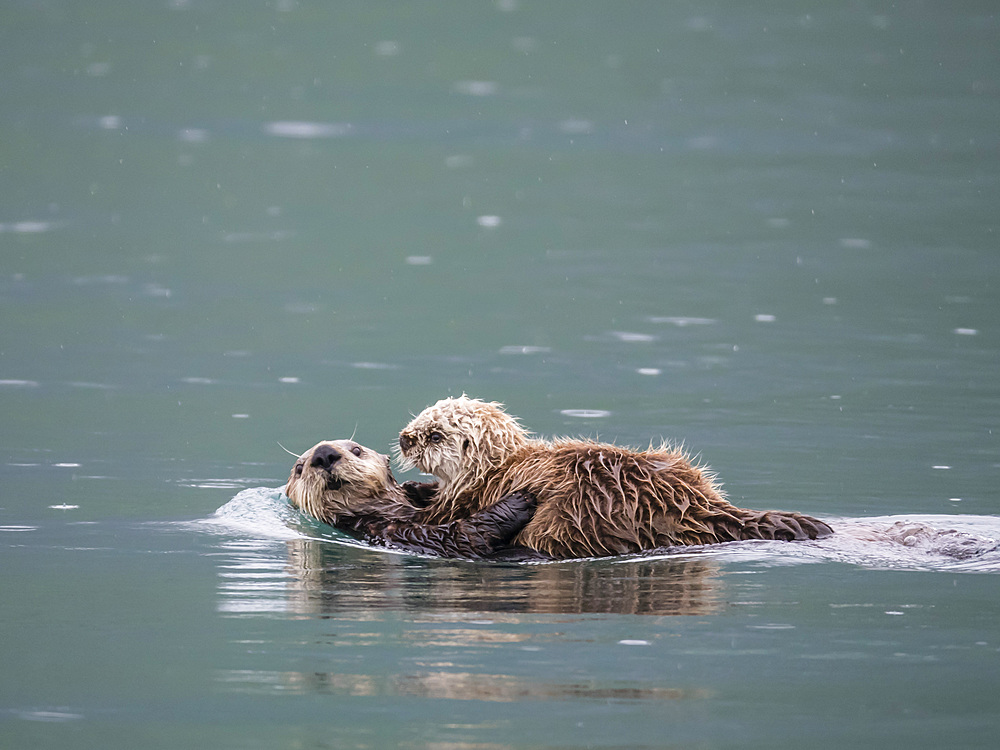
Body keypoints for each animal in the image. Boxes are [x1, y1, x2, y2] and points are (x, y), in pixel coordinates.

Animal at [286, 440, 536, 560]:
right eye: (299, 468)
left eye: (356, 450)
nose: (324, 454)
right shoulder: (388, 531)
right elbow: (463, 536)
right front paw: (519, 499)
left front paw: (415, 487)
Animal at [394, 396, 832, 560]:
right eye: (419, 419)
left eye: (434, 434)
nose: (404, 437)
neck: (496, 467)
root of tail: (694, 503)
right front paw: (417, 486)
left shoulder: (466, 499)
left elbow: (433, 520)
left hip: (566, 520)